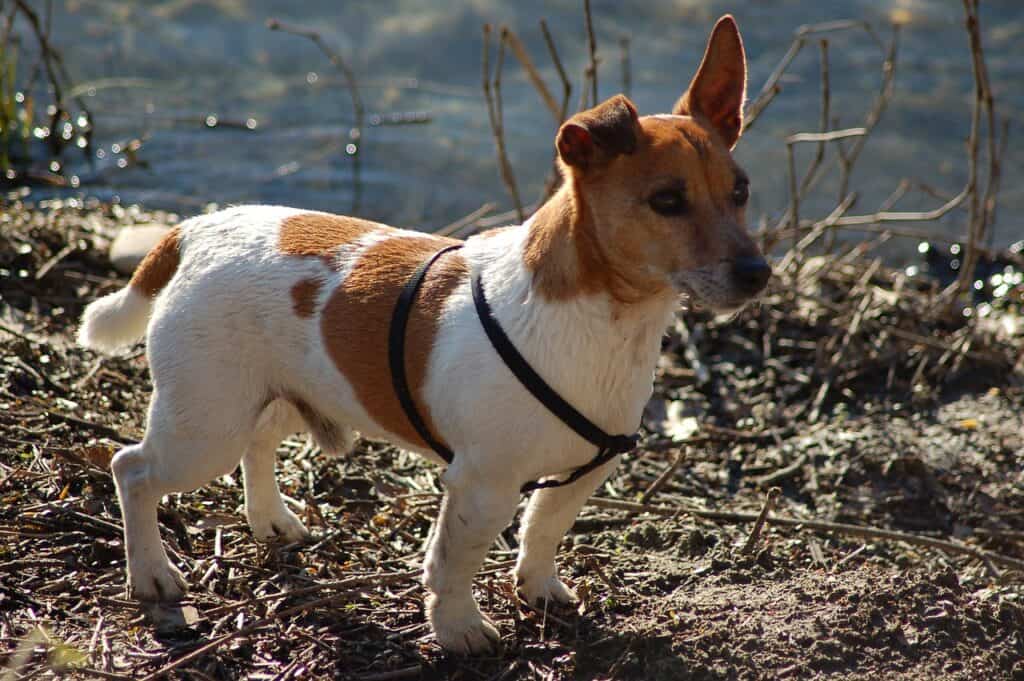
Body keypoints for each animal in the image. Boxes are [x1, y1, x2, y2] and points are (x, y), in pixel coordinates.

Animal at [77, 15, 770, 655]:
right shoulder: (481, 486)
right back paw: (152, 575)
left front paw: (538, 588)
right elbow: (454, 562)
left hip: (283, 393)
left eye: (741, 191)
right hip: (204, 428)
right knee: (132, 470)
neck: (606, 322)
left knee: (259, 441)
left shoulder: (579, 476)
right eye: (666, 201)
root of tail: (195, 230)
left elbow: (543, 531)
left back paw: (271, 520)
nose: (758, 273)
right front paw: (459, 628)